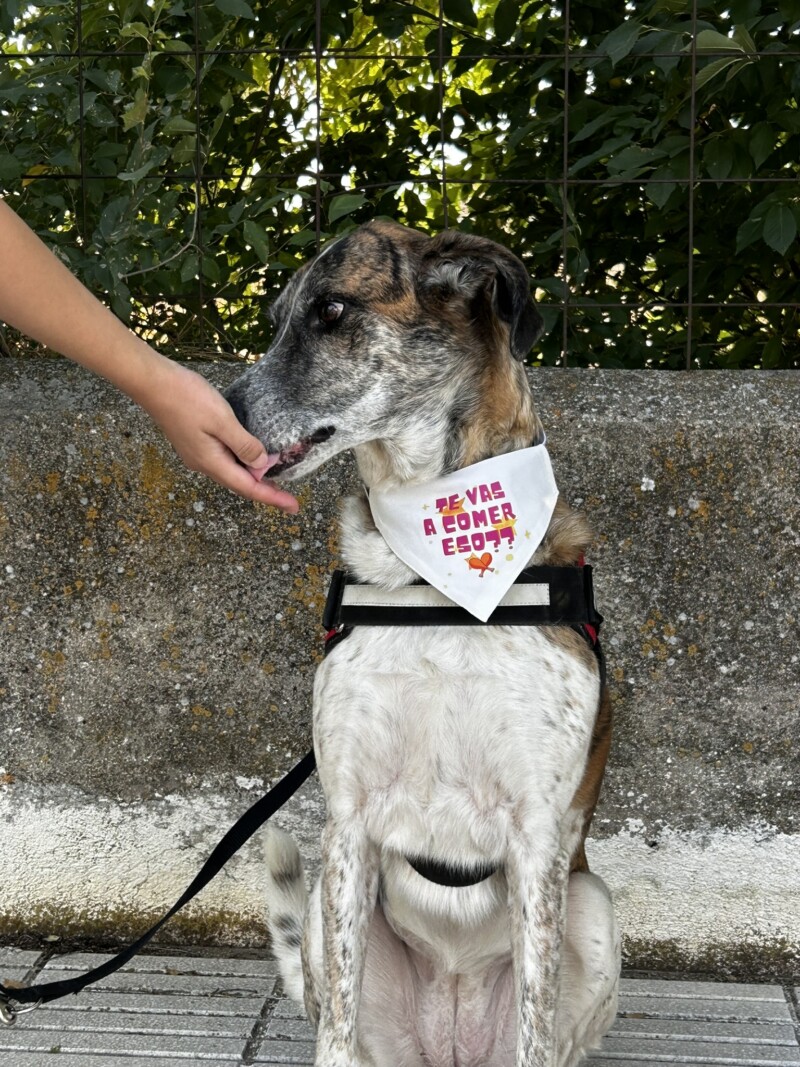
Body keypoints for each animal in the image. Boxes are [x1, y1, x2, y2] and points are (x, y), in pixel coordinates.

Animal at [226, 218, 618, 1067]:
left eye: (330, 311)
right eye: (276, 318)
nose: (219, 408)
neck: (436, 582)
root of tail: (450, 1045)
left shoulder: (538, 837)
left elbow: (536, 1024)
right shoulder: (347, 819)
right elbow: (336, 1028)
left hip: (593, 903)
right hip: (321, 909)